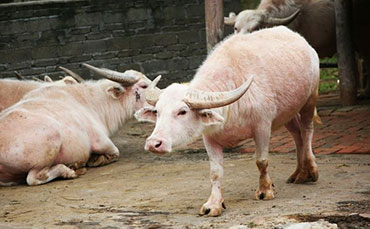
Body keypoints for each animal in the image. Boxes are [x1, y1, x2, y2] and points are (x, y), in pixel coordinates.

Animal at [0, 63, 158, 185]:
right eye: (144, 85)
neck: (92, 102)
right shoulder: (103, 143)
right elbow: (114, 153)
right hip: (50, 142)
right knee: (34, 177)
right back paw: (70, 170)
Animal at [135, 26, 320, 216]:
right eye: (157, 111)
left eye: (182, 111)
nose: (153, 143)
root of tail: (304, 43)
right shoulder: (209, 137)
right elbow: (215, 172)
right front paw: (213, 204)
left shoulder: (262, 126)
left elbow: (261, 161)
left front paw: (265, 190)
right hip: (288, 112)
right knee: (297, 134)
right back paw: (298, 172)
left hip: (310, 98)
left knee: (307, 130)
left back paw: (309, 172)